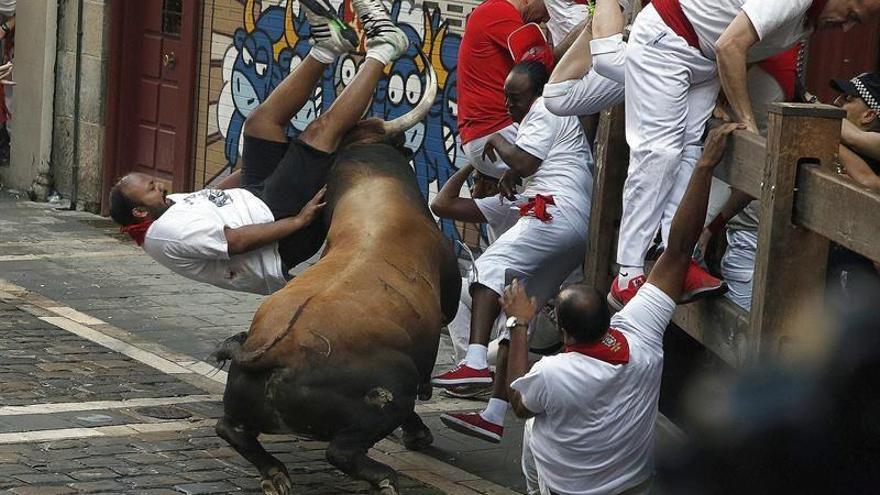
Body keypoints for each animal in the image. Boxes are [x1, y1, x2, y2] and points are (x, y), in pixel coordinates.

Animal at [212, 141, 460, 494]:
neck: (372, 190)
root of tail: (276, 351)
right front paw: (418, 436)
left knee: (229, 428)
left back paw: (275, 474)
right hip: (391, 392)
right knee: (342, 451)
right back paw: (385, 478)